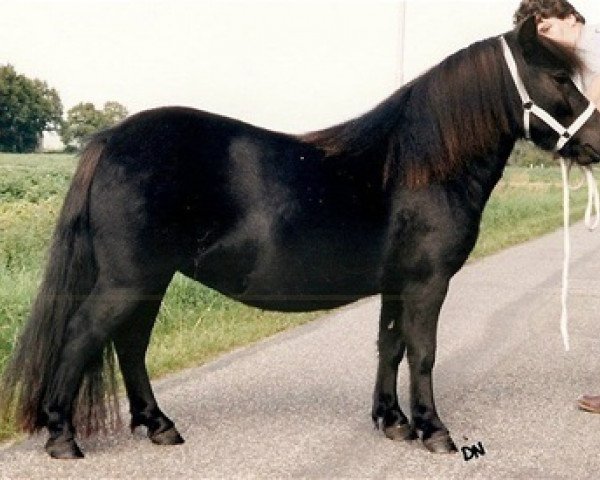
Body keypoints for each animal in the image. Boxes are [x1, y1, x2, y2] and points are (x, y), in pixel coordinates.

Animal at [1, 16, 600, 458]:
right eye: (560, 78)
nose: (597, 139)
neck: (419, 167)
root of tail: (110, 139)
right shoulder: (426, 284)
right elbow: (424, 353)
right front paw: (434, 431)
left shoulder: (398, 284)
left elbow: (390, 346)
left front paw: (393, 421)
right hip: (128, 279)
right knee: (82, 335)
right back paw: (63, 437)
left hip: (149, 279)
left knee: (130, 344)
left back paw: (159, 425)